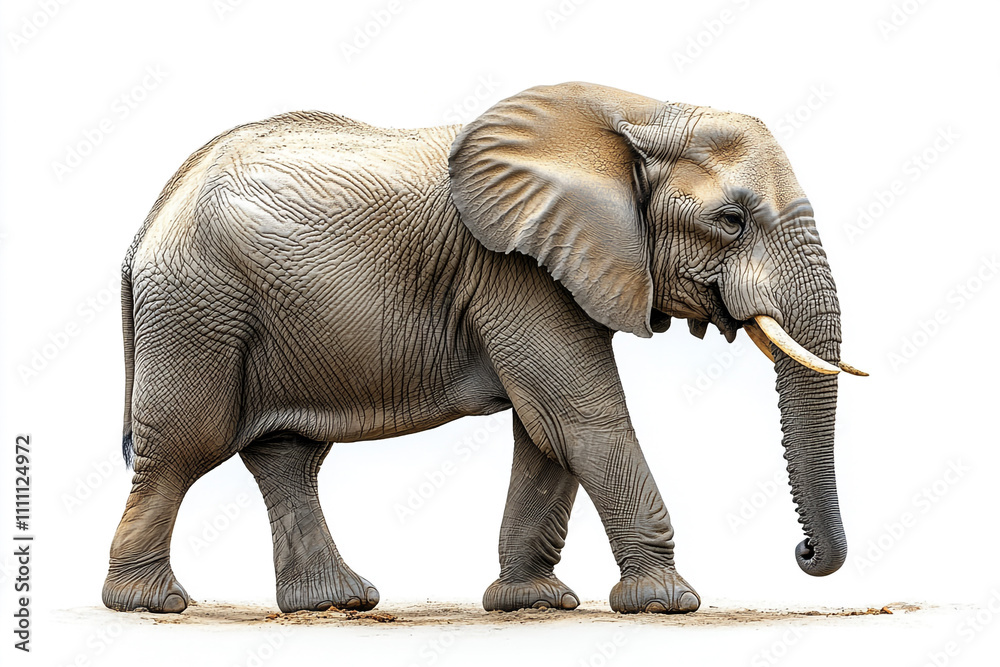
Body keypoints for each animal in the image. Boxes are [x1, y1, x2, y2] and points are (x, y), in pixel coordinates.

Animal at [103, 81, 865, 616]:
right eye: (731, 221)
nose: (804, 551)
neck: (638, 113)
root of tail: (145, 228)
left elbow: (546, 430)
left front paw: (534, 603)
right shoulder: (514, 269)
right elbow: (579, 416)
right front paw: (667, 603)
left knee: (287, 454)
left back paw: (335, 602)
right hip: (197, 305)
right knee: (184, 447)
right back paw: (154, 605)